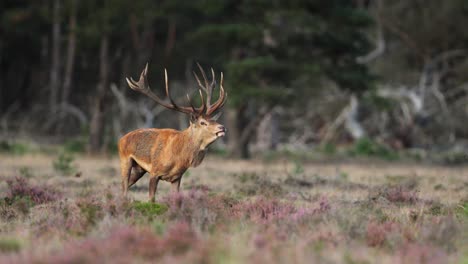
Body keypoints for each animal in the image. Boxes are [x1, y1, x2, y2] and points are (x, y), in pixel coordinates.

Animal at [118, 62, 226, 202]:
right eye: (203, 122)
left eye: (213, 119)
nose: (222, 127)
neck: (179, 158)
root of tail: (121, 139)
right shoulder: (154, 172)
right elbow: (151, 200)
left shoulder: (177, 177)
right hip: (125, 160)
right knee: (124, 187)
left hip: (139, 169)